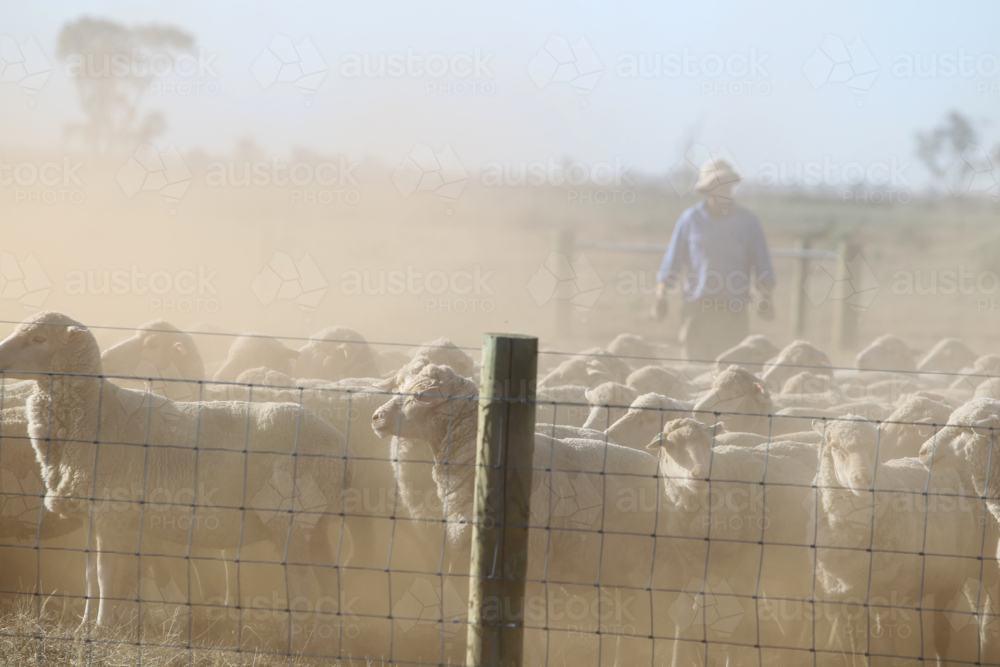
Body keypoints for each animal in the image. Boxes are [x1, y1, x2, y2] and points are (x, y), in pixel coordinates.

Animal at [0, 314, 356, 632]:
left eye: (39, 339)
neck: (96, 413)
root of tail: (337, 439)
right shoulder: (91, 512)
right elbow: (91, 575)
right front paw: (85, 625)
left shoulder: (112, 511)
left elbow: (105, 572)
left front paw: (102, 627)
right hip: (314, 521)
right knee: (329, 577)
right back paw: (325, 636)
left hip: (288, 514)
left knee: (302, 581)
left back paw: (294, 637)